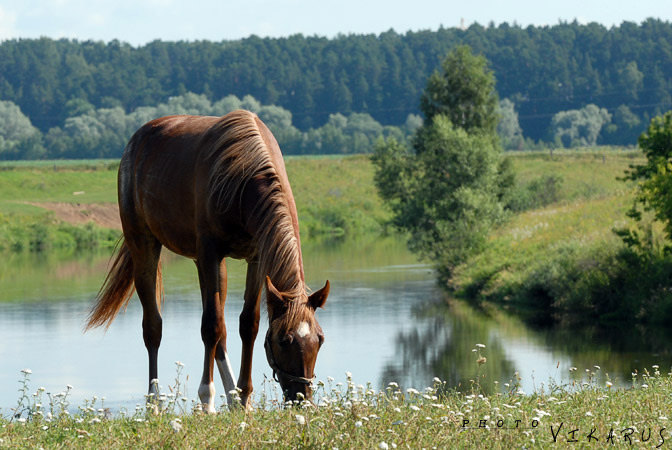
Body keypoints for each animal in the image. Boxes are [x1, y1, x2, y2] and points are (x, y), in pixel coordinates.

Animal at [85, 109, 330, 412]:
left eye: (319, 339)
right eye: (284, 340)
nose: (301, 399)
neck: (244, 175)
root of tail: (137, 140)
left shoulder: (255, 258)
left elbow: (247, 324)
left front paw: (244, 397)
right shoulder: (210, 254)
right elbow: (210, 327)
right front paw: (207, 399)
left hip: (206, 265)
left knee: (221, 333)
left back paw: (233, 398)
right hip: (145, 246)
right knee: (154, 327)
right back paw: (154, 402)